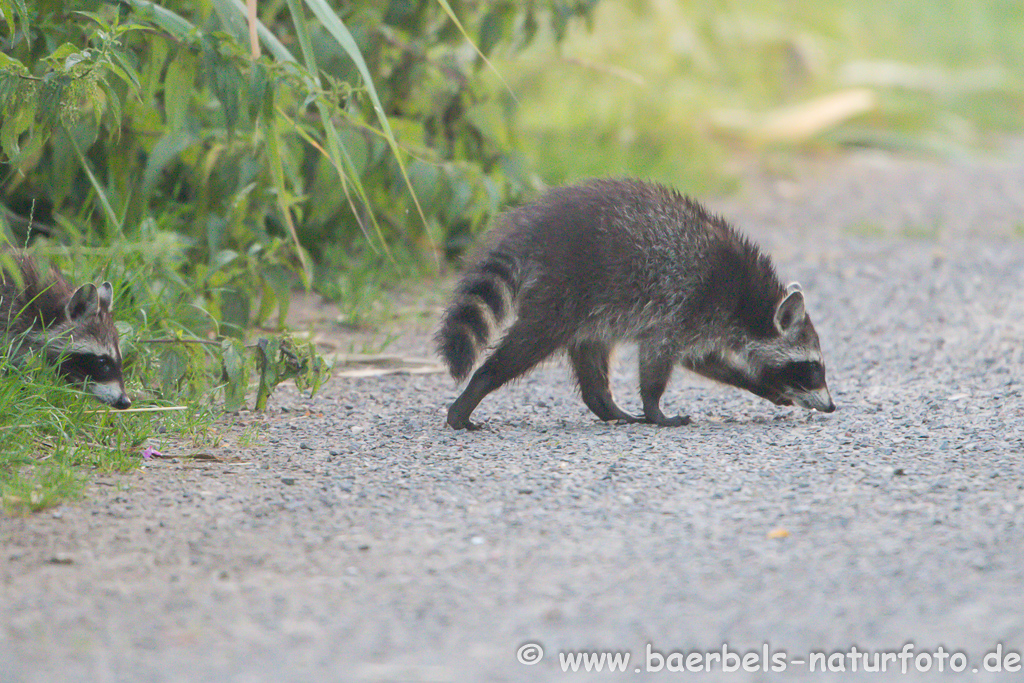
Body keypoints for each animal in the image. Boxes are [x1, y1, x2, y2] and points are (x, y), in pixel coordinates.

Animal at [436, 179, 835, 430]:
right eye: (813, 367)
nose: (832, 405)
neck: (750, 302)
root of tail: (534, 224)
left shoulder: (702, 323)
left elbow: (706, 361)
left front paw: (764, 386)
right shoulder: (686, 306)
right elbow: (657, 359)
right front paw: (655, 408)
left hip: (592, 307)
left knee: (591, 357)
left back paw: (607, 406)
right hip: (566, 287)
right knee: (529, 343)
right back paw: (479, 385)